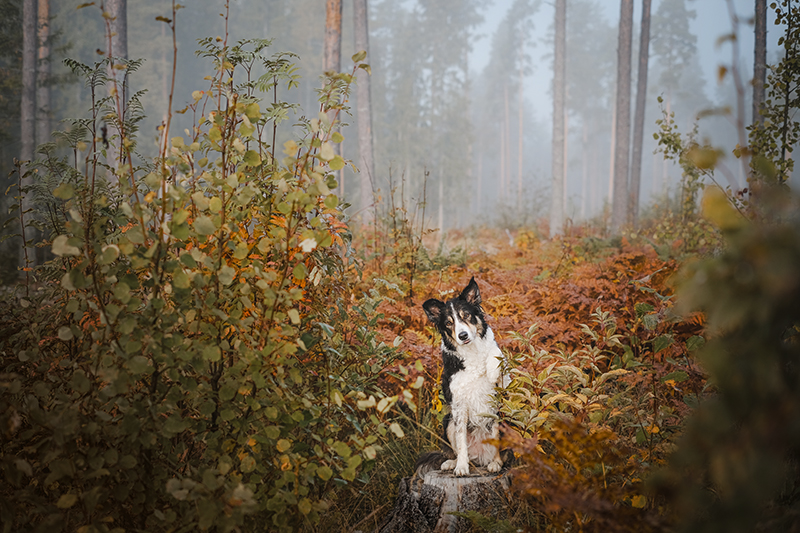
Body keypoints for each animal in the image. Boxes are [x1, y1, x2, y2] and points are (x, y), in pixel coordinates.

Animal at [416, 276, 504, 476]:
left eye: (466, 316)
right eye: (449, 323)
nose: (462, 335)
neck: (471, 352)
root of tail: (480, 457)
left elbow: (495, 353)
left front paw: (492, 369)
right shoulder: (458, 404)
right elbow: (462, 441)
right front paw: (461, 467)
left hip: (500, 417)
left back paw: (495, 463)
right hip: (448, 420)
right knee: (459, 449)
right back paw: (453, 463)